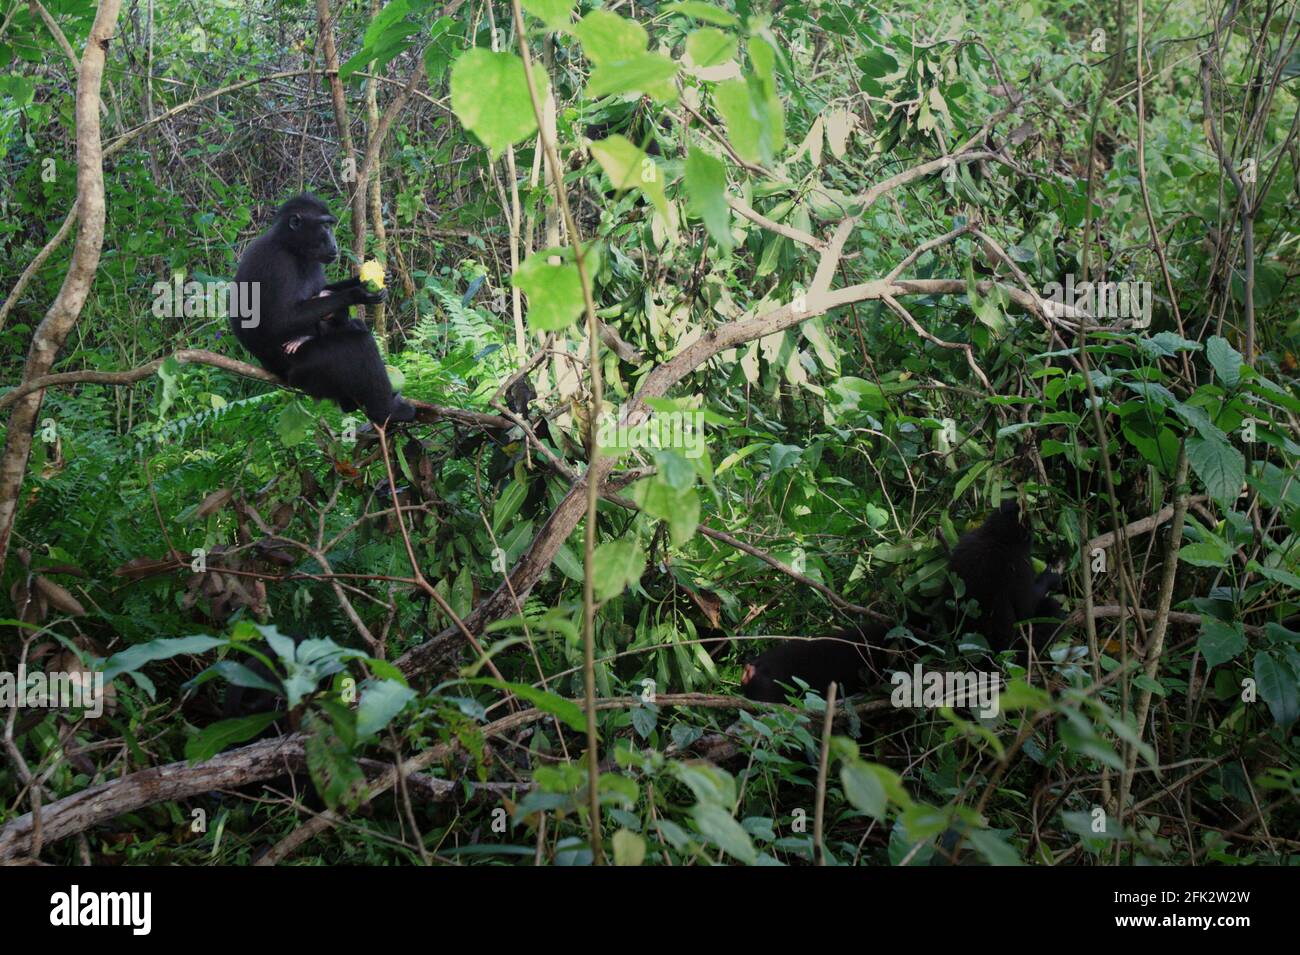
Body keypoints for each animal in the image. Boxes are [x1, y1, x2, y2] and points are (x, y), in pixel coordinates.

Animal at [230, 193, 416, 425]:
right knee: (359, 345)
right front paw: (357, 293)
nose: (334, 243)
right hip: (304, 372)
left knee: (352, 326)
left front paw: (366, 280)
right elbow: (280, 320)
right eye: (325, 226)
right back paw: (386, 411)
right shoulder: (276, 263)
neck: (290, 247)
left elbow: (322, 291)